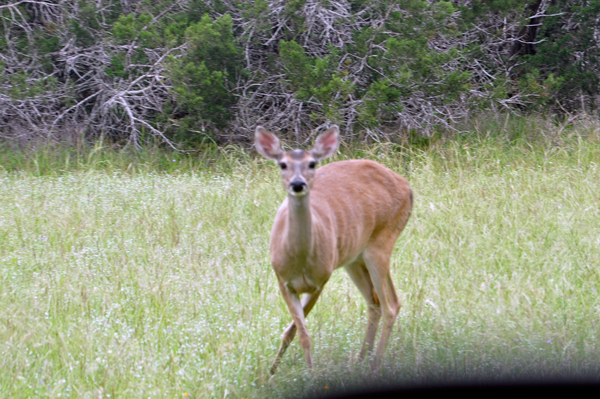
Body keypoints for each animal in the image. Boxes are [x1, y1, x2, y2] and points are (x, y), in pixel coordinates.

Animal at [255, 124, 414, 376]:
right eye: (283, 164)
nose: (298, 184)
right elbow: (295, 331)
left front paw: (310, 374)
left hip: (381, 243)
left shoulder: (321, 279)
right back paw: (360, 360)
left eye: (312, 163)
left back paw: (374, 364)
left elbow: (299, 331)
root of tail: (408, 188)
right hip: (355, 258)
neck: (299, 260)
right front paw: (269, 374)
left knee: (390, 305)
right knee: (376, 302)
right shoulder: (283, 280)